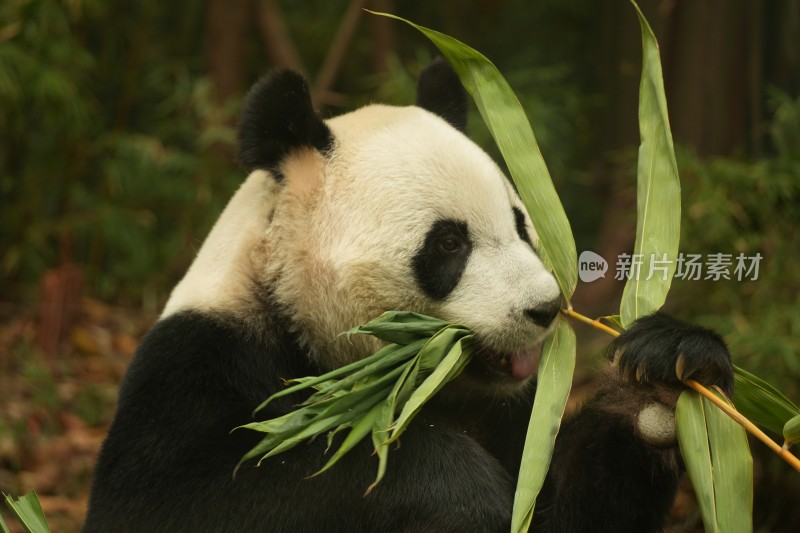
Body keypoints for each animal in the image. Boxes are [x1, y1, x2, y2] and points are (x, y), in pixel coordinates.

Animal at [86, 59, 732, 532]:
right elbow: (185, 497)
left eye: (521, 224)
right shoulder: (204, 356)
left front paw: (662, 376)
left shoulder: (510, 410)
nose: (545, 309)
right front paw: (464, 488)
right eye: (448, 243)